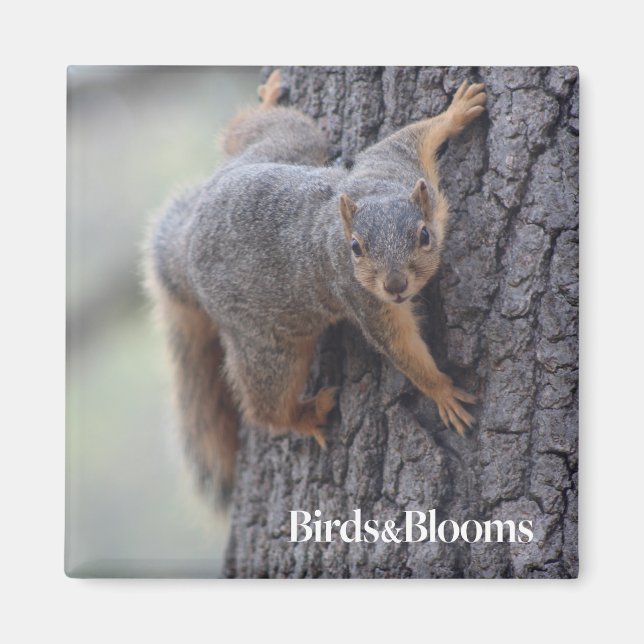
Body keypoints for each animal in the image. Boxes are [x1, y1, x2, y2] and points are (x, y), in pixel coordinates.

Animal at [145, 69, 487, 502]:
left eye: (424, 236)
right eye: (356, 248)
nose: (395, 285)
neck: (374, 192)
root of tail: (188, 243)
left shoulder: (395, 165)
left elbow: (410, 135)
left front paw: (456, 111)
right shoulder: (362, 298)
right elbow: (401, 347)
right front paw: (441, 390)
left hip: (286, 146)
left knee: (255, 131)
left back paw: (266, 101)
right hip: (268, 346)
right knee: (265, 405)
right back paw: (303, 416)